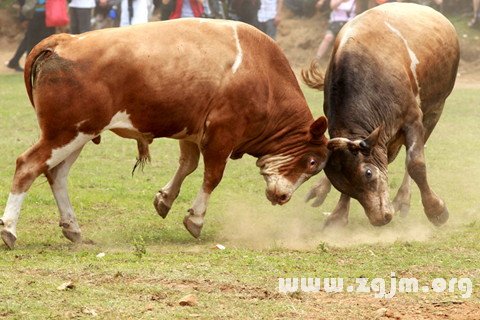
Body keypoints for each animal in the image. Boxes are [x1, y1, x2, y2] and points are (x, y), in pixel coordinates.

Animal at [0, 18, 328, 249]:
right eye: (312, 162)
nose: (283, 197)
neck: (261, 73)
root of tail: (64, 40)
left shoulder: (192, 132)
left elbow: (187, 165)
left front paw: (165, 199)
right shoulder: (222, 135)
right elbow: (212, 177)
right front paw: (195, 218)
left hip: (78, 134)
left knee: (56, 174)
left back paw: (72, 227)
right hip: (64, 133)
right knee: (28, 166)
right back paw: (9, 229)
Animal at [302, 2, 460, 228]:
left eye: (368, 173)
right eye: (341, 184)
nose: (380, 219)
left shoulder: (413, 119)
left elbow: (416, 164)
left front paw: (436, 210)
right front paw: (338, 215)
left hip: (435, 109)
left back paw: (403, 199)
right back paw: (320, 189)